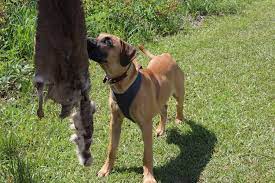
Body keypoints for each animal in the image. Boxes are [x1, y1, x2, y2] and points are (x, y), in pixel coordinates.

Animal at [87, 33, 185, 183]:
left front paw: (148, 177)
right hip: (159, 99)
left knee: (178, 105)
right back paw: (161, 129)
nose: (85, 40)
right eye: (98, 36)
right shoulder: (115, 122)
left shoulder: (146, 125)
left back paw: (179, 118)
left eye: (108, 41)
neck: (122, 83)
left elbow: (147, 155)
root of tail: (164, 55)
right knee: (164, 109)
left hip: (179, 92)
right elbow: (111, 149)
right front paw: (106, 169)